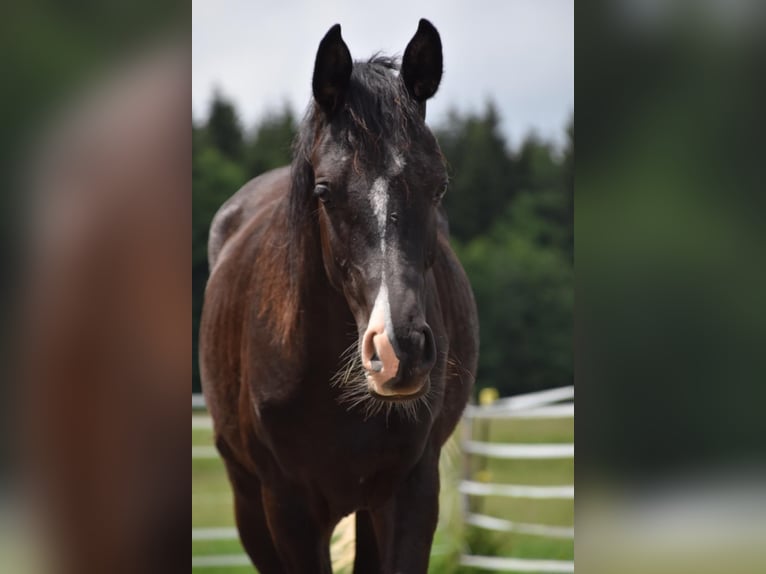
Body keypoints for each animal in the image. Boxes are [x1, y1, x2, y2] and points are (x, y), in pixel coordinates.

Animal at [202, 20, 480, 572]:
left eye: (438, 187)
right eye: (324, 190)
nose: (399, 351)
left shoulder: (412, 493)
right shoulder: (287, 508)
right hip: (249, 503)